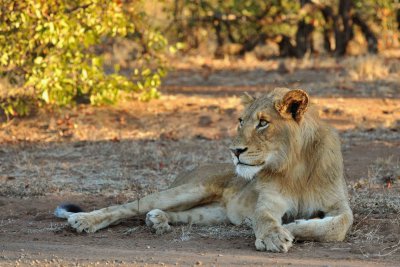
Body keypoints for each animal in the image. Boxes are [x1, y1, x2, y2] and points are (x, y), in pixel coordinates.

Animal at [54, 88, 352, 253]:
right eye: (241, 120)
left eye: (263, 123)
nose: (235, 151)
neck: (294, 166)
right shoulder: (268, 201)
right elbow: (265, 219)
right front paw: (274, 235)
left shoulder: (339, 204)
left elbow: (337, 227)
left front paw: (295, 226)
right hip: (189, 189)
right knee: (127, 206)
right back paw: (84, 220)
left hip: (212, 213)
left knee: (179, 215)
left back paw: (158, 220)